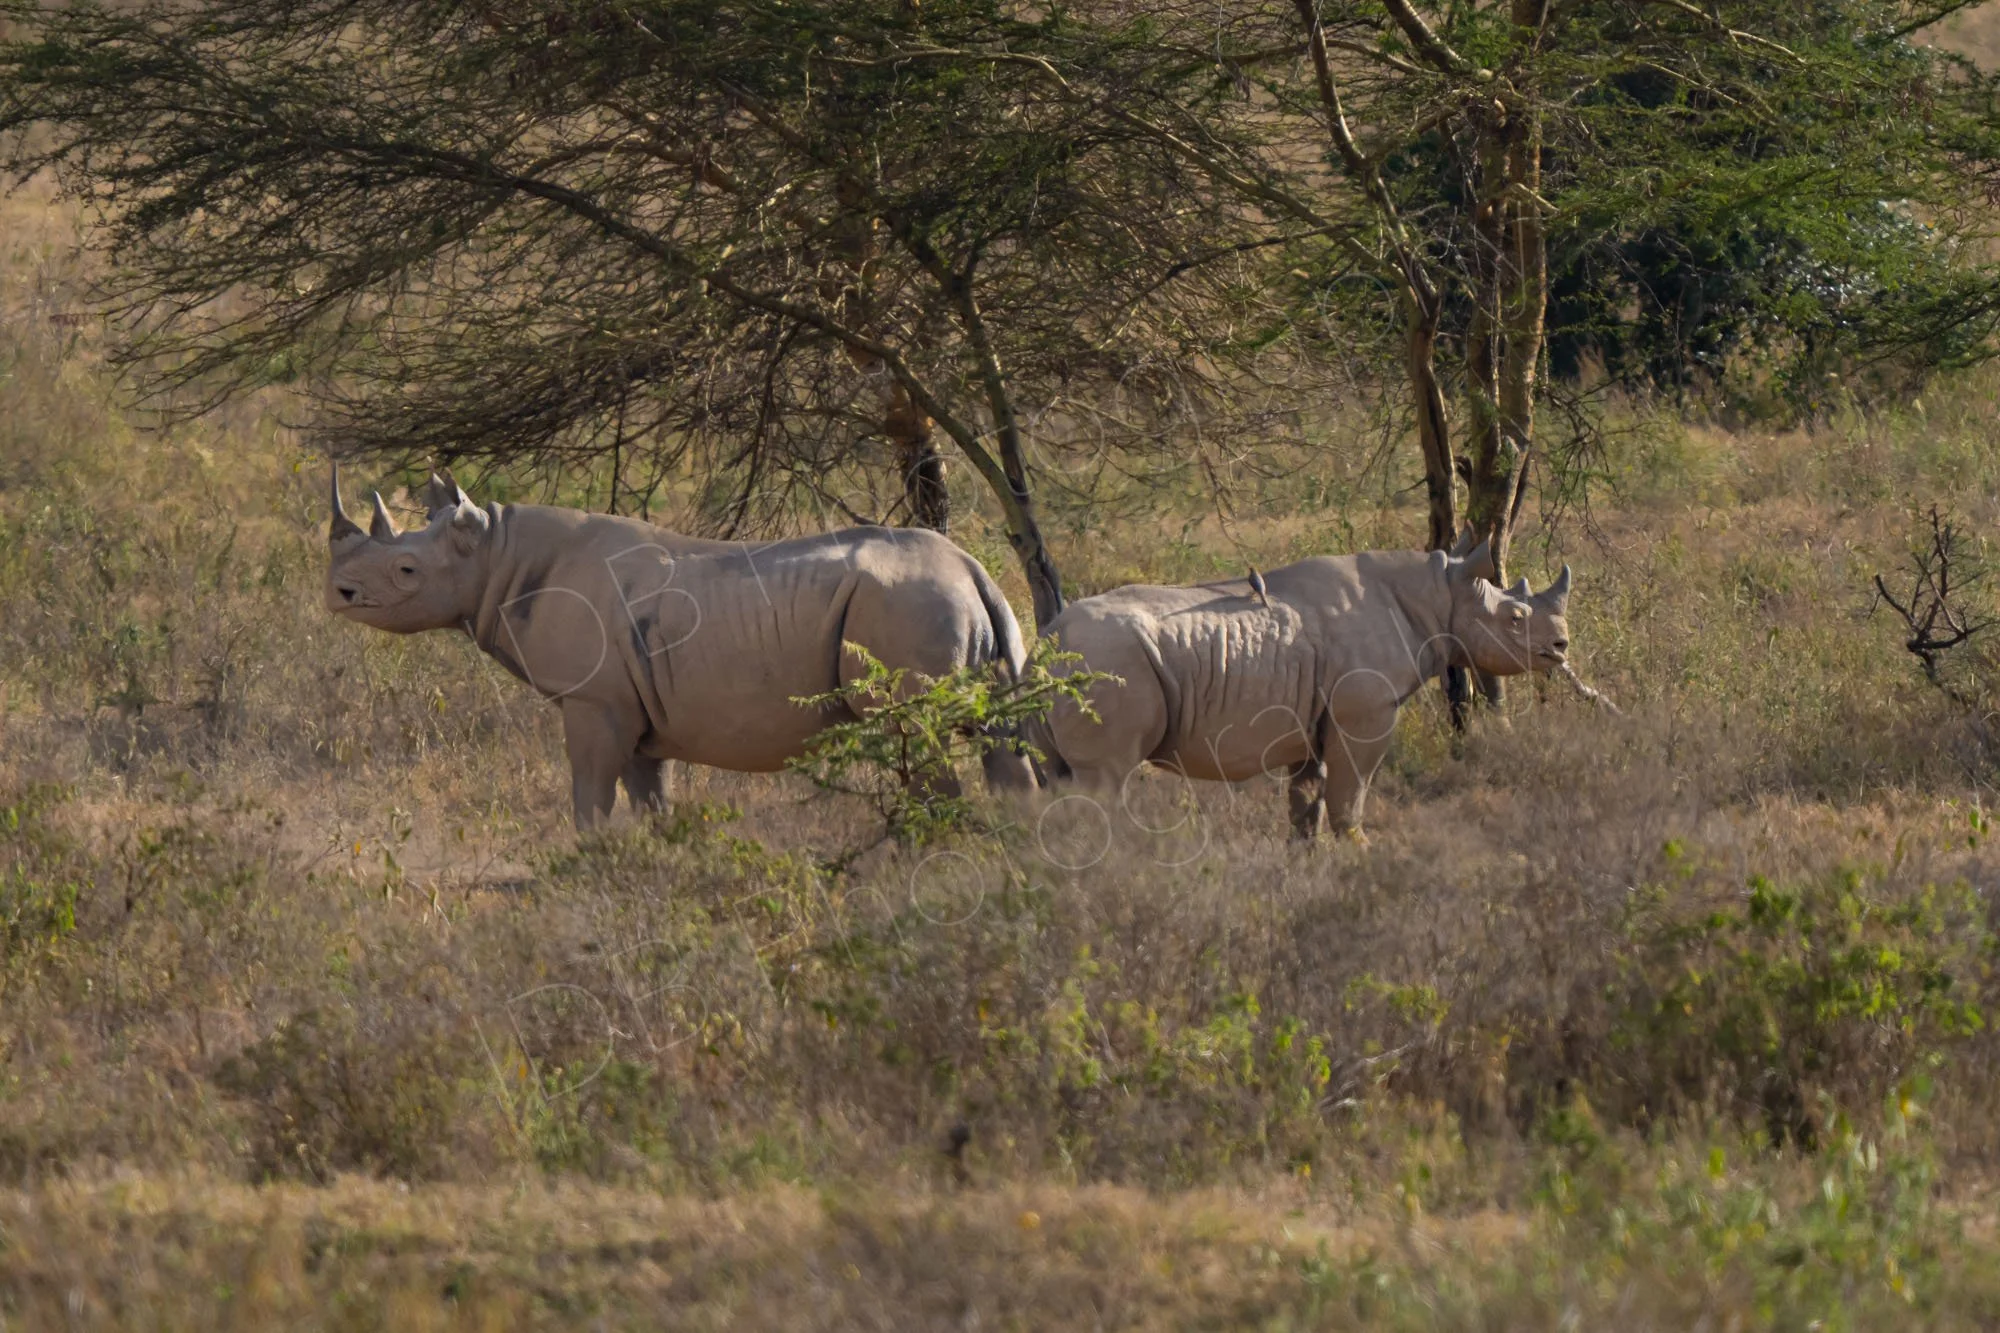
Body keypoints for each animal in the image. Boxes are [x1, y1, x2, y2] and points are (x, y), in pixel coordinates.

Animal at [324, 468, 1035, 826]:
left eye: (407, 571)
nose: (337, 593)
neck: (497, 552)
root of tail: (974, 570)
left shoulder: (593, 700)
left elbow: (589, 792)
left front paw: (590, 860)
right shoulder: (635, 707)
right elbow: (650, 797)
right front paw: (654, 857)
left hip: (905, 606)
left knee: (917, 735)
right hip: (956, 609)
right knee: (1002, 739)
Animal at [1033, 539, 1572, 839]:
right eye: (1515, 618)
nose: (1561, 645)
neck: (1439, 593)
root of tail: (1050, 634)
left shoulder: (1310, 721)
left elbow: (1305, 805)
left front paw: (1307, 867)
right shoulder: (1366, 712)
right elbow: (1349, 796)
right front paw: (1361, 855)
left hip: (1073, 667)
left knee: (1058, 780)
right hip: (1108, 663)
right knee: (1105, 781)